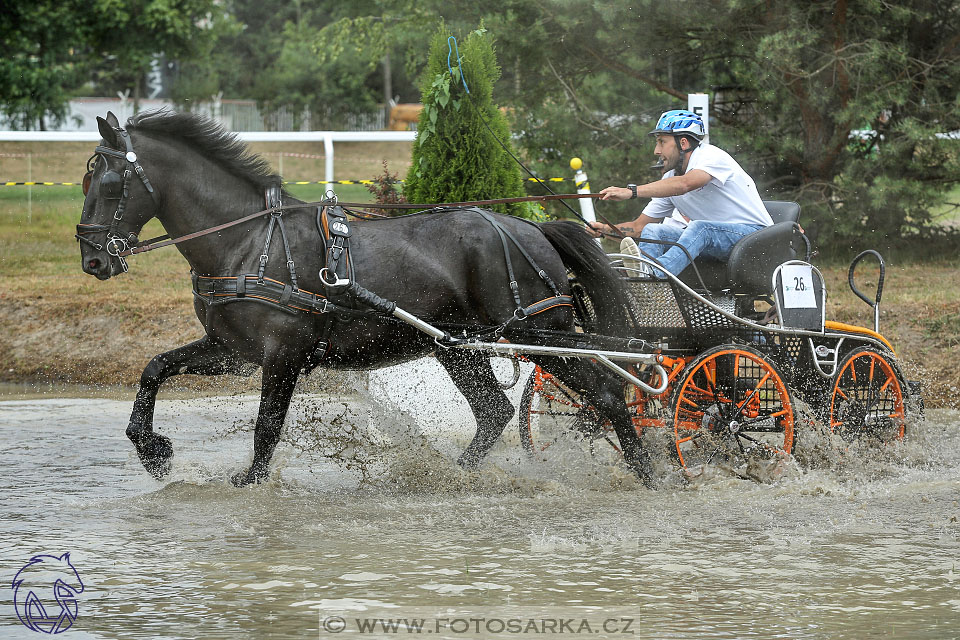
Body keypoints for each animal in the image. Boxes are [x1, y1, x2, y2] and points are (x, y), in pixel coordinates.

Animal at [75, 112, 644, 488]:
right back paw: (450, 476)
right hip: (458, 347)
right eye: (86, 178)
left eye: (110, 182)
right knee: (494, 413)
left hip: (539, 336)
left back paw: (649, 472)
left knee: (609, 395)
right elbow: (155, 368)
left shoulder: (282, 354)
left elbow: (266, 428)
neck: (248, 242)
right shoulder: (231, 349)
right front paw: (154, 452)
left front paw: (249, 484)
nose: (93, 259)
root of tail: (532, 228)